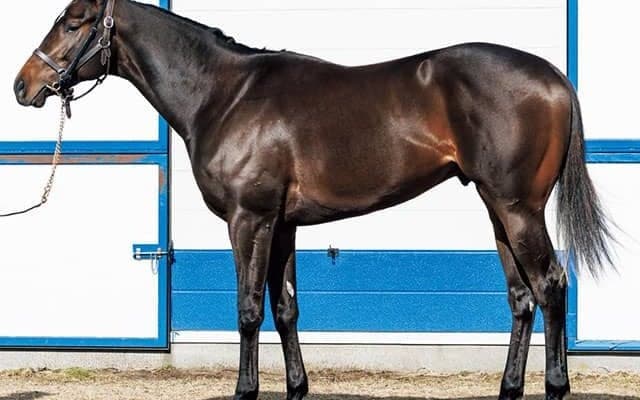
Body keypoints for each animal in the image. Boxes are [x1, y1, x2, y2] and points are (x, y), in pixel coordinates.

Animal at [15, 1, 614, 399]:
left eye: (73, 22)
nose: (24, 85)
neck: (225, 95)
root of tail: (552, 76)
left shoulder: (249, 220)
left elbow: (249, 310)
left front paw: (246, 390)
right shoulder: (283, 225)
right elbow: (285, 310)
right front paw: (296, 387)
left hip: (518, 209)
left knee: (551, 285)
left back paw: (555, 386)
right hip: (497, 209)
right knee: (522, 297)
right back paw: (510, 389)